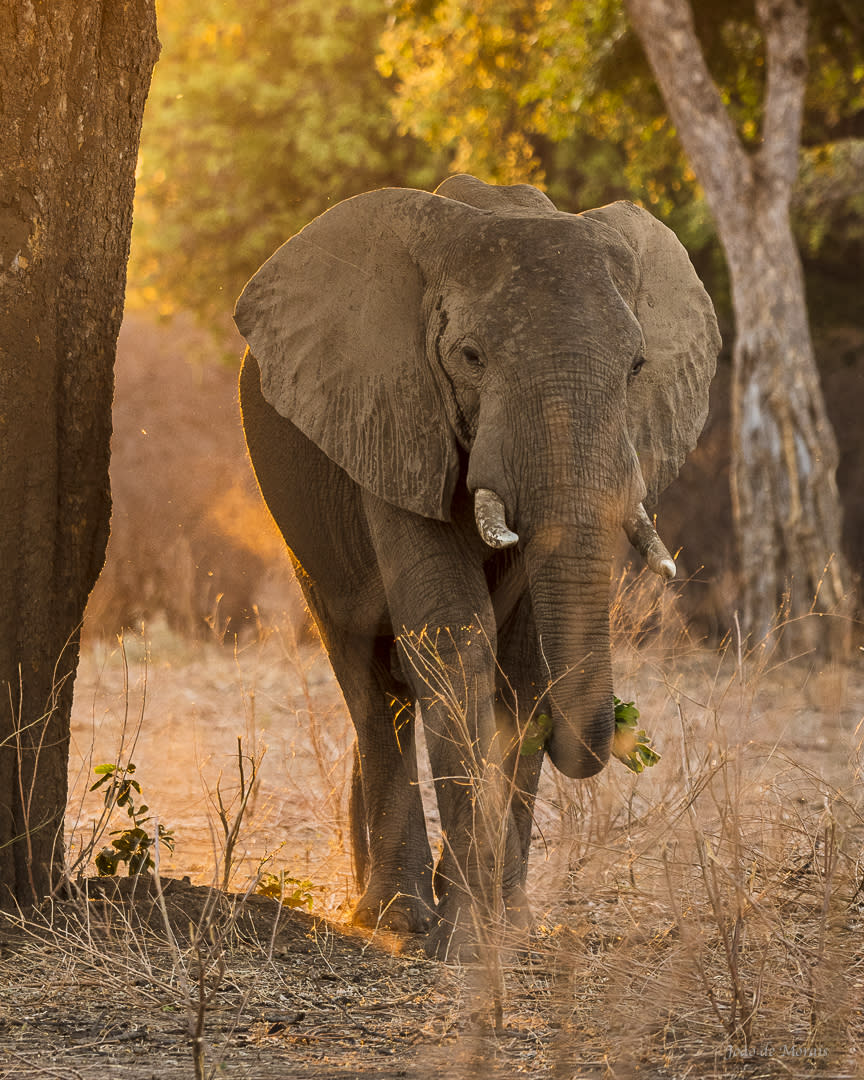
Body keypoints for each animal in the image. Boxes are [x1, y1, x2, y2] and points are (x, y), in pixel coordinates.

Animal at [236, 172, 721, 959]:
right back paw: (394, 917)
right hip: (301, 527)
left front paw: (511, 928)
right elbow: (456, 641)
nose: (615, 729)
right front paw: (462, 945)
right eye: (469, 356)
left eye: (637, 368)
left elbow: (521, 666)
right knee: (367, 679)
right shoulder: (395, 414)